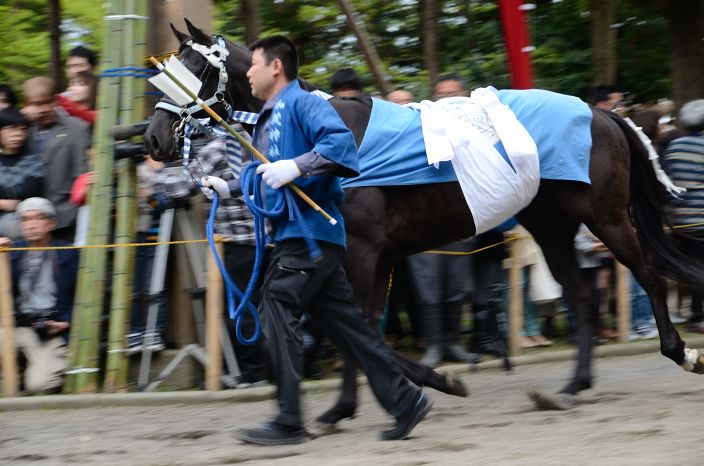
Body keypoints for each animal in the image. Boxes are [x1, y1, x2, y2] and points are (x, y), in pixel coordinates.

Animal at [143, 22, 704, 430]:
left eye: (194, 66)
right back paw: (570, 387)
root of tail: (604, 114)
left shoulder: (361, 252)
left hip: (604, 216)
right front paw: (419, 385)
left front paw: (354, 403)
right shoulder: (373, 256)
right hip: (551, 226)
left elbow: (354, 331)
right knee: (584, 296)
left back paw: (681, 353)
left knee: (649, 274)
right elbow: (361, 328)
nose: (152, 138)